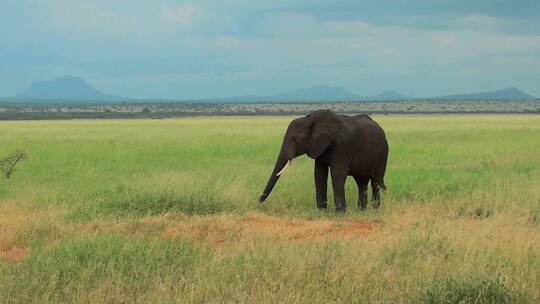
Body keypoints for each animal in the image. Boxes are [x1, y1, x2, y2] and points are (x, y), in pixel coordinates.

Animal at [258, 109, 388, 211]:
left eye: (294, 140)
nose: (258, 204)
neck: (310, 120)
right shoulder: (318, 147)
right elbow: (319, 174)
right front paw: (322, 211)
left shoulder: (341, 146)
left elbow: (337, 174)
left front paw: (340, 212)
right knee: (362, 182)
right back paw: (361, 210)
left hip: (383, 155)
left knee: (375, 181)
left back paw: (374, 210)